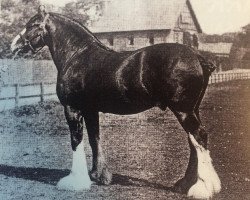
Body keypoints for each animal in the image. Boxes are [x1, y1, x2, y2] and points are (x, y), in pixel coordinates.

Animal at [10, 5, 221, 199]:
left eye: (32, 25)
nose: (14, 45)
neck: (77, 55)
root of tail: (197, 56)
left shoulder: (72, 109)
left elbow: (76, 141)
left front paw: (76, 181)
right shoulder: (90, 110)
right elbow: (94, 139)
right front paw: (99, 176)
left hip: (183, 110)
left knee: (199, 137)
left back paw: (201, 188)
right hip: (192, 109)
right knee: (194, 141)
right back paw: (185, 184)